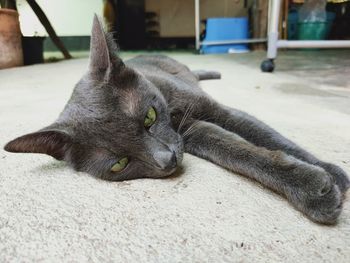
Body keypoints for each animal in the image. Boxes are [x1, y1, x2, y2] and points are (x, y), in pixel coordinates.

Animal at [4, 16, 348, 226]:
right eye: (119, 164)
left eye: (149, 117)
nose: (167, 159)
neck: (174, 114)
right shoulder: (194, 133)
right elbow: (241, 154)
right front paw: (313, 186)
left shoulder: (217, 112)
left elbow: (270, 138)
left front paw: (331, 174)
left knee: (196, 71)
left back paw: (214, 71)